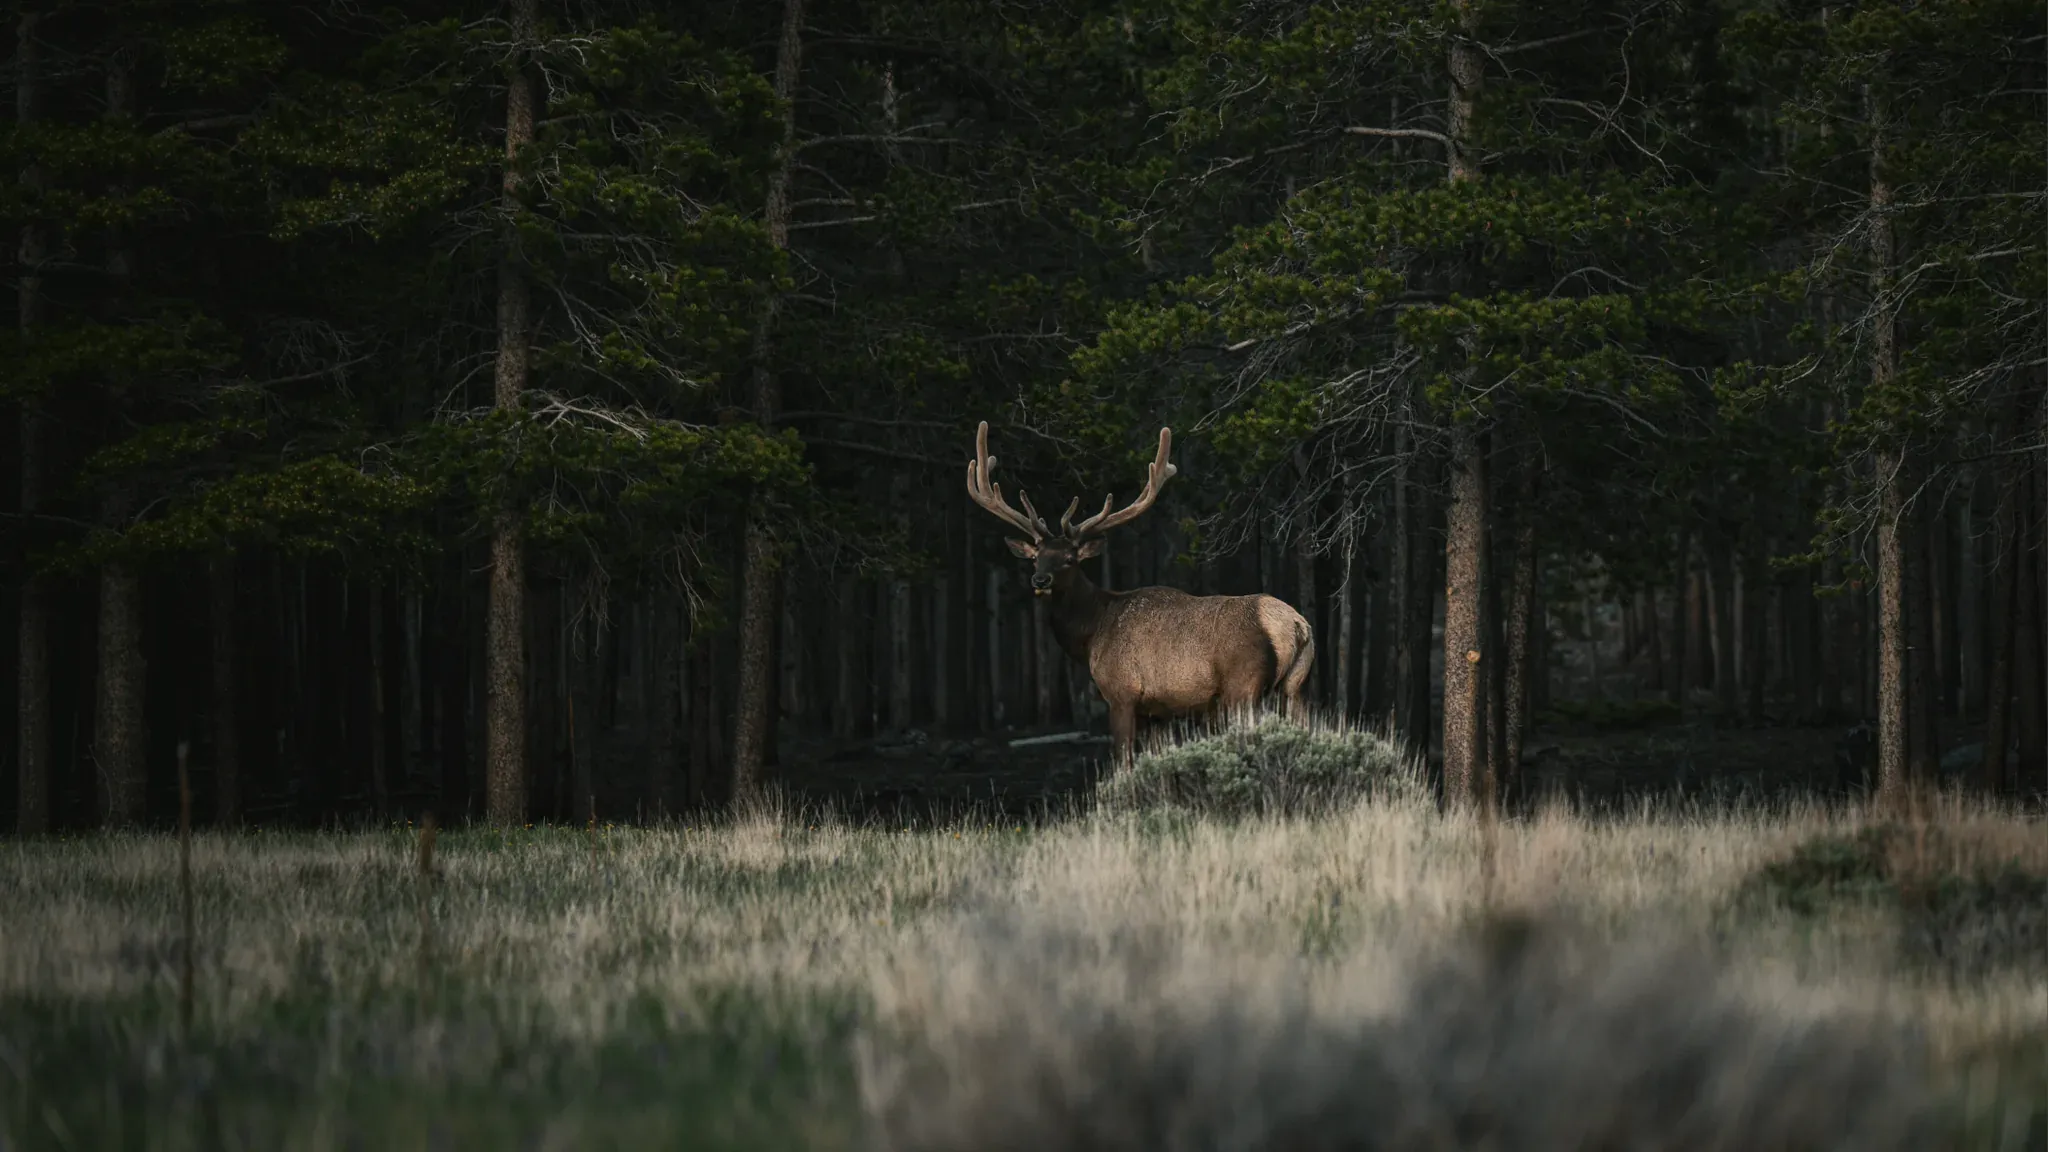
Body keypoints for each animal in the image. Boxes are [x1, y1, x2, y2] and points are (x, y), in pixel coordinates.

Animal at [966, 420, 1315, 765]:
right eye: (1036, 557)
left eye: (1069, 559)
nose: (1040, 580)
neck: (1092, 633)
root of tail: (1296, 626)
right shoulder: (1158, 711)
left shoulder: (1121, 693)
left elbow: (1123, 761)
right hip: (1295, 686)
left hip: (1243, 686)